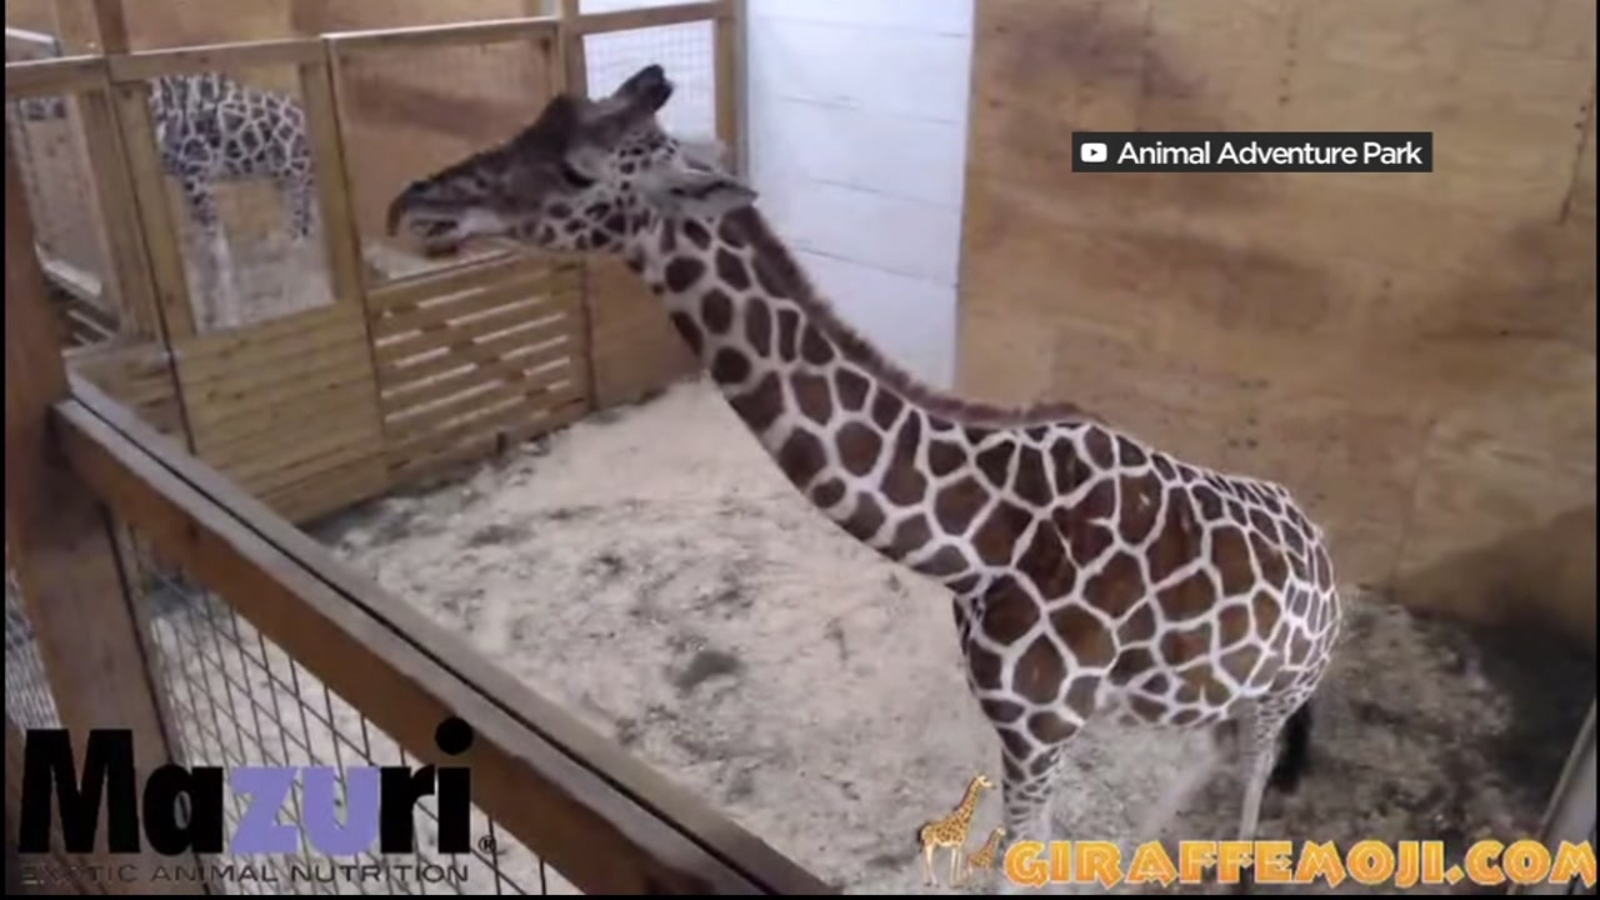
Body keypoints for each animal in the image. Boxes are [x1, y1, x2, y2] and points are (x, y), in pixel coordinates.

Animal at [12, 71, 318, 329]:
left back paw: (294, 302)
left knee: (298, 238)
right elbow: (200, 246)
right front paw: (208, 315)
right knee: (305, 234)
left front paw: (230, 319)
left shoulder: (196, 169)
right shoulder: (187, 179)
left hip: (295, 177)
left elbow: (216, 248)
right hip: (288, 181)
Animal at [384, 64, 1342, 891]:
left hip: (1282, 688)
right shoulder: (1035, 728)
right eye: (532, 126)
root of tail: (1328, 555)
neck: (984, 538)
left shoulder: (1042, 727)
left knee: (1256, 777)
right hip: (1218, 693)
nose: (411, 204)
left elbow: (1020, 865)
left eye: (578, 170)